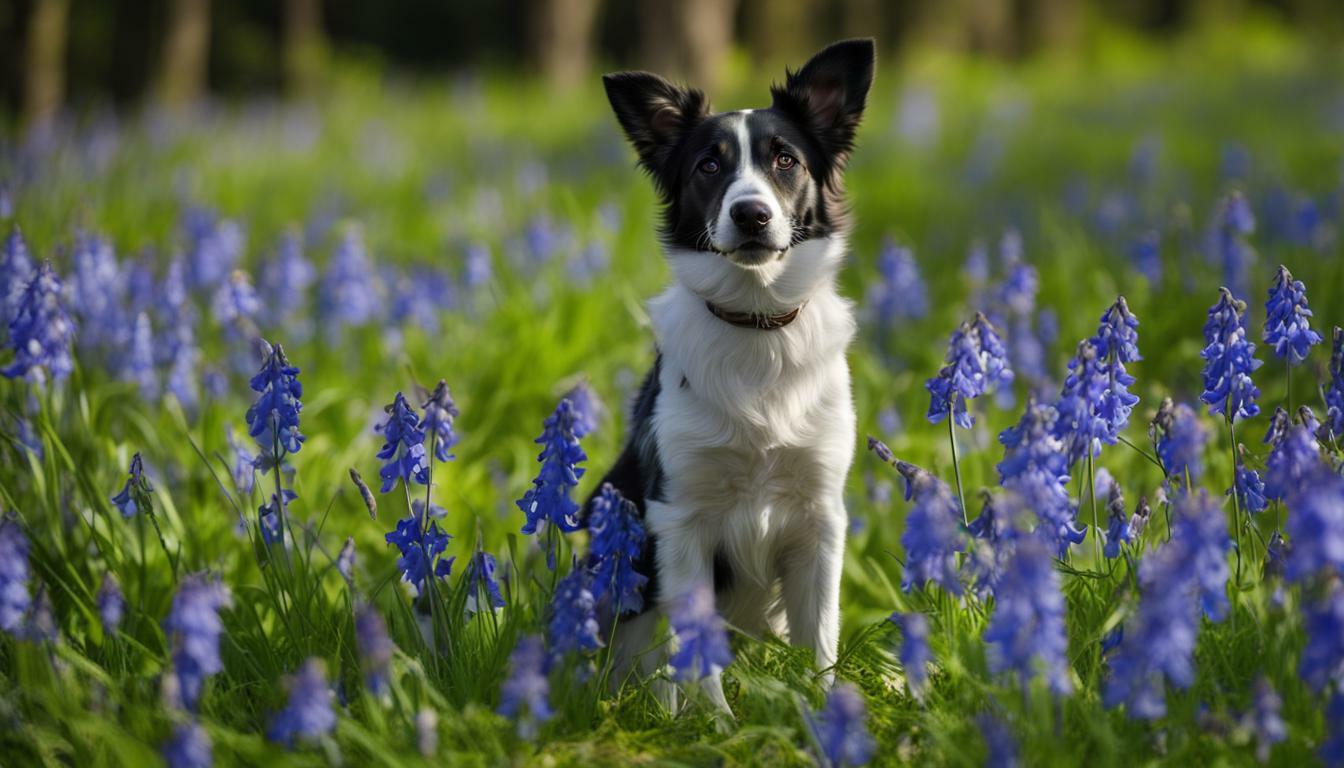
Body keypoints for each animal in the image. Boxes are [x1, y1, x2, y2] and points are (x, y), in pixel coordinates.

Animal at [596, 37, 870, 715]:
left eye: (785, 160)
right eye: (708, 166)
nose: (751, 215)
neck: (757, 326)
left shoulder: (819, 517)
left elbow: (820, 644)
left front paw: (824, 718)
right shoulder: (679, 518)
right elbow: (694, 653)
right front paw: (712, 724)